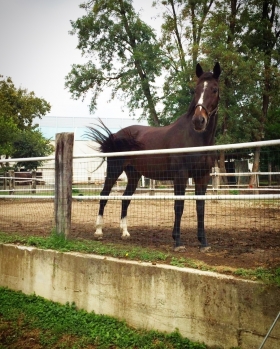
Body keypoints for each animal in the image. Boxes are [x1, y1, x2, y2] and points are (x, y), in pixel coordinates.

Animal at [87, 62, 221, 251]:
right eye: (195, 90)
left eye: (214, 89)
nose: (198, 121)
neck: (195, 138)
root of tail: (115, 135)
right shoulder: (180, 176)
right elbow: (179, 206)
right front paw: (177, 241)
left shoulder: (203, 176)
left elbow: (200, 207)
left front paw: (204, 242)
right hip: (114, 170)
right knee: (104, 195)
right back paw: (98, 231)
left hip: (133, 175)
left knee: (125, 199)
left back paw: (125, 232)